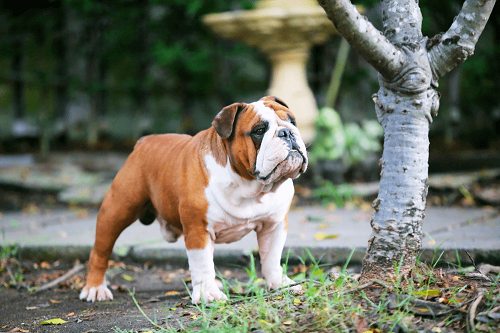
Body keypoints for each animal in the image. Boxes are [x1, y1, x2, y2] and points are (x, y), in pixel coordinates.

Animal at [79, 94, 306, 302]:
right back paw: (95, 288)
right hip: (117, 210)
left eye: (293, 121)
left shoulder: (273, 226)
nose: (287, 132)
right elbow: (203, 263)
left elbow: (271, 258)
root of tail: (142, 142)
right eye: (259, 131)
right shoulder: (199, 230)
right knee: (100, 251)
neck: (249, 186)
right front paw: (208, 295)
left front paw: (280, 284)